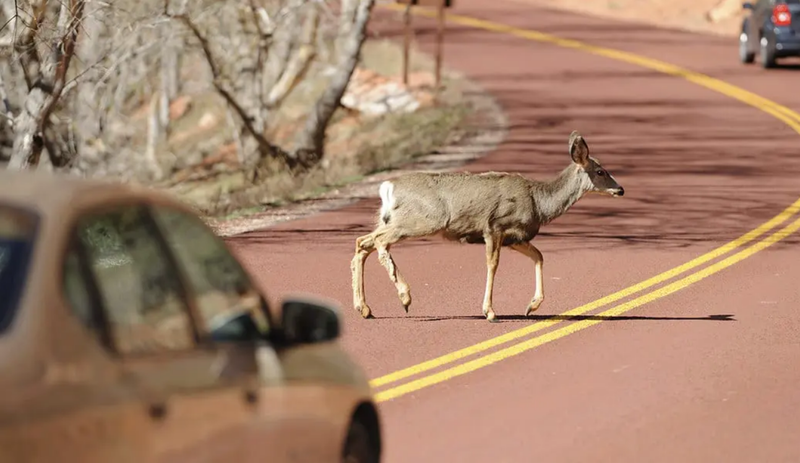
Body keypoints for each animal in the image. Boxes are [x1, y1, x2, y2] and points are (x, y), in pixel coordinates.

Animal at [350, 130, 624, 322]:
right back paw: (404, 296)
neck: (538, 202)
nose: (620, 189)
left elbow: (539, 256)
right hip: (421, 219)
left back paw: (365, 309)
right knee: (379, 242)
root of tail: (388, 187)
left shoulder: (516, 237)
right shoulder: (494, 226)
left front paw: (531, 306)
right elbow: (493, 265)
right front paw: (490, 311)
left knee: (362, 242)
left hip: (391, 219)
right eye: (600, 171)